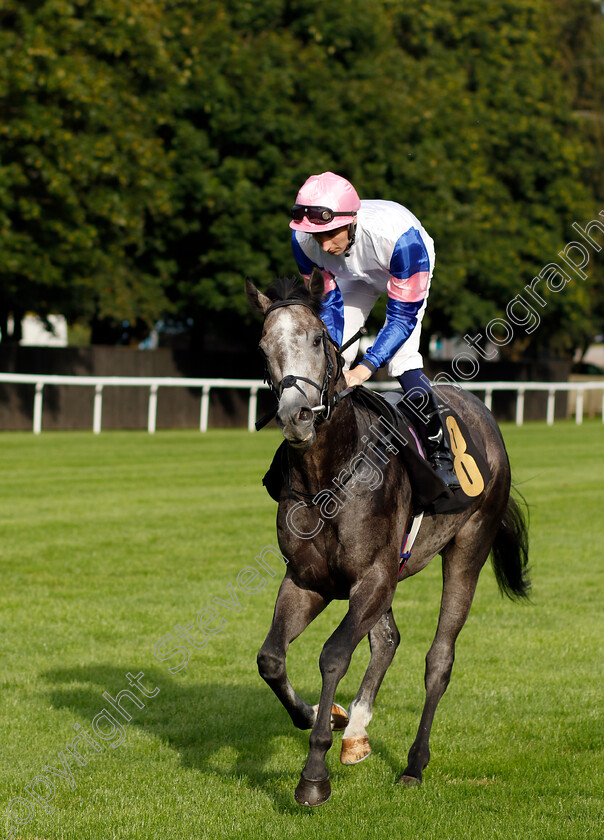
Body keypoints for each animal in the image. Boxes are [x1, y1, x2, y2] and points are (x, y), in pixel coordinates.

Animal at [245, 270, 528, 808]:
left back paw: (414, 764)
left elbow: (334, 654)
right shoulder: (310, 579)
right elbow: (270, 658)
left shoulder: (371, 576)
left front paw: (313, 774)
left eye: (318, 339)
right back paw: (355, 729)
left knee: (439, 659)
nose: (296, 415)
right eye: (264, 346)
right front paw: (318, 716)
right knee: (387, 639)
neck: (329, 476)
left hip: (469, 545)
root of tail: (482, 414)